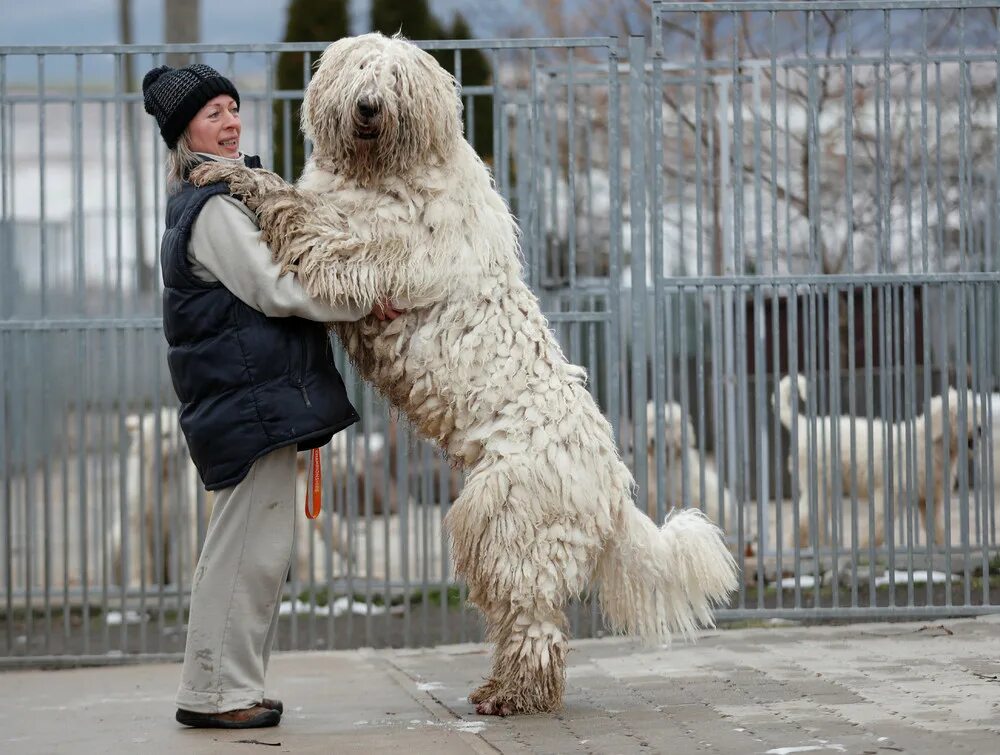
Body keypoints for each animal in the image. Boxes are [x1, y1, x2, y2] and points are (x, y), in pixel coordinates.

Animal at [191, 31, 740, 716]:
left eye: (395, 79)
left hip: (509, 522)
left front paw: (229, 171)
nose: (368, 107)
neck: (383, 174)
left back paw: (515, 694)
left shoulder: (359, 255)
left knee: (535, 620)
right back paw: (500, 687)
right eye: (360, 69)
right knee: (520, 619)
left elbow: (300, 211)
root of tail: (613, 487)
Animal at [772, 374, 976, 548]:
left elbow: (937, 526)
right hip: (820, 483)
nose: (980, 429)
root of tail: (803, 425)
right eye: (962, 413)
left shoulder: (931, 496)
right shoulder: (891, 492)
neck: (930, 442)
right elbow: (879, 524)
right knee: (807, 517)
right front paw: (866, 546)